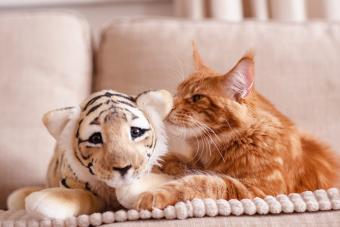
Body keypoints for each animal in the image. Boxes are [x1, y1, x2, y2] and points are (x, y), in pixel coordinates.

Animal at [134, 45, 338, 209]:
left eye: (197, 97)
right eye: (176, 93)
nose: (168, 105)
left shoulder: (258, 190)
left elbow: (201, 182)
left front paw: (153, 194)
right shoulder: (197, 163)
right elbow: (179, 161)